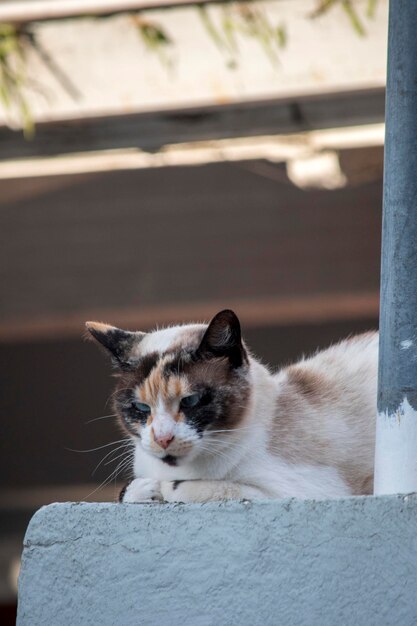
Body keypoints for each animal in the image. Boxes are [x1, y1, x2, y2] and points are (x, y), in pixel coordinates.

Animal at [85, 310, 376, 504]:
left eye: (190, 401)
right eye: (141, 407)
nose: (162, 438)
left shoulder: (295, 492)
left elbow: (188, 489)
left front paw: (159, 489)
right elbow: (128, 491)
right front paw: (143, 490)